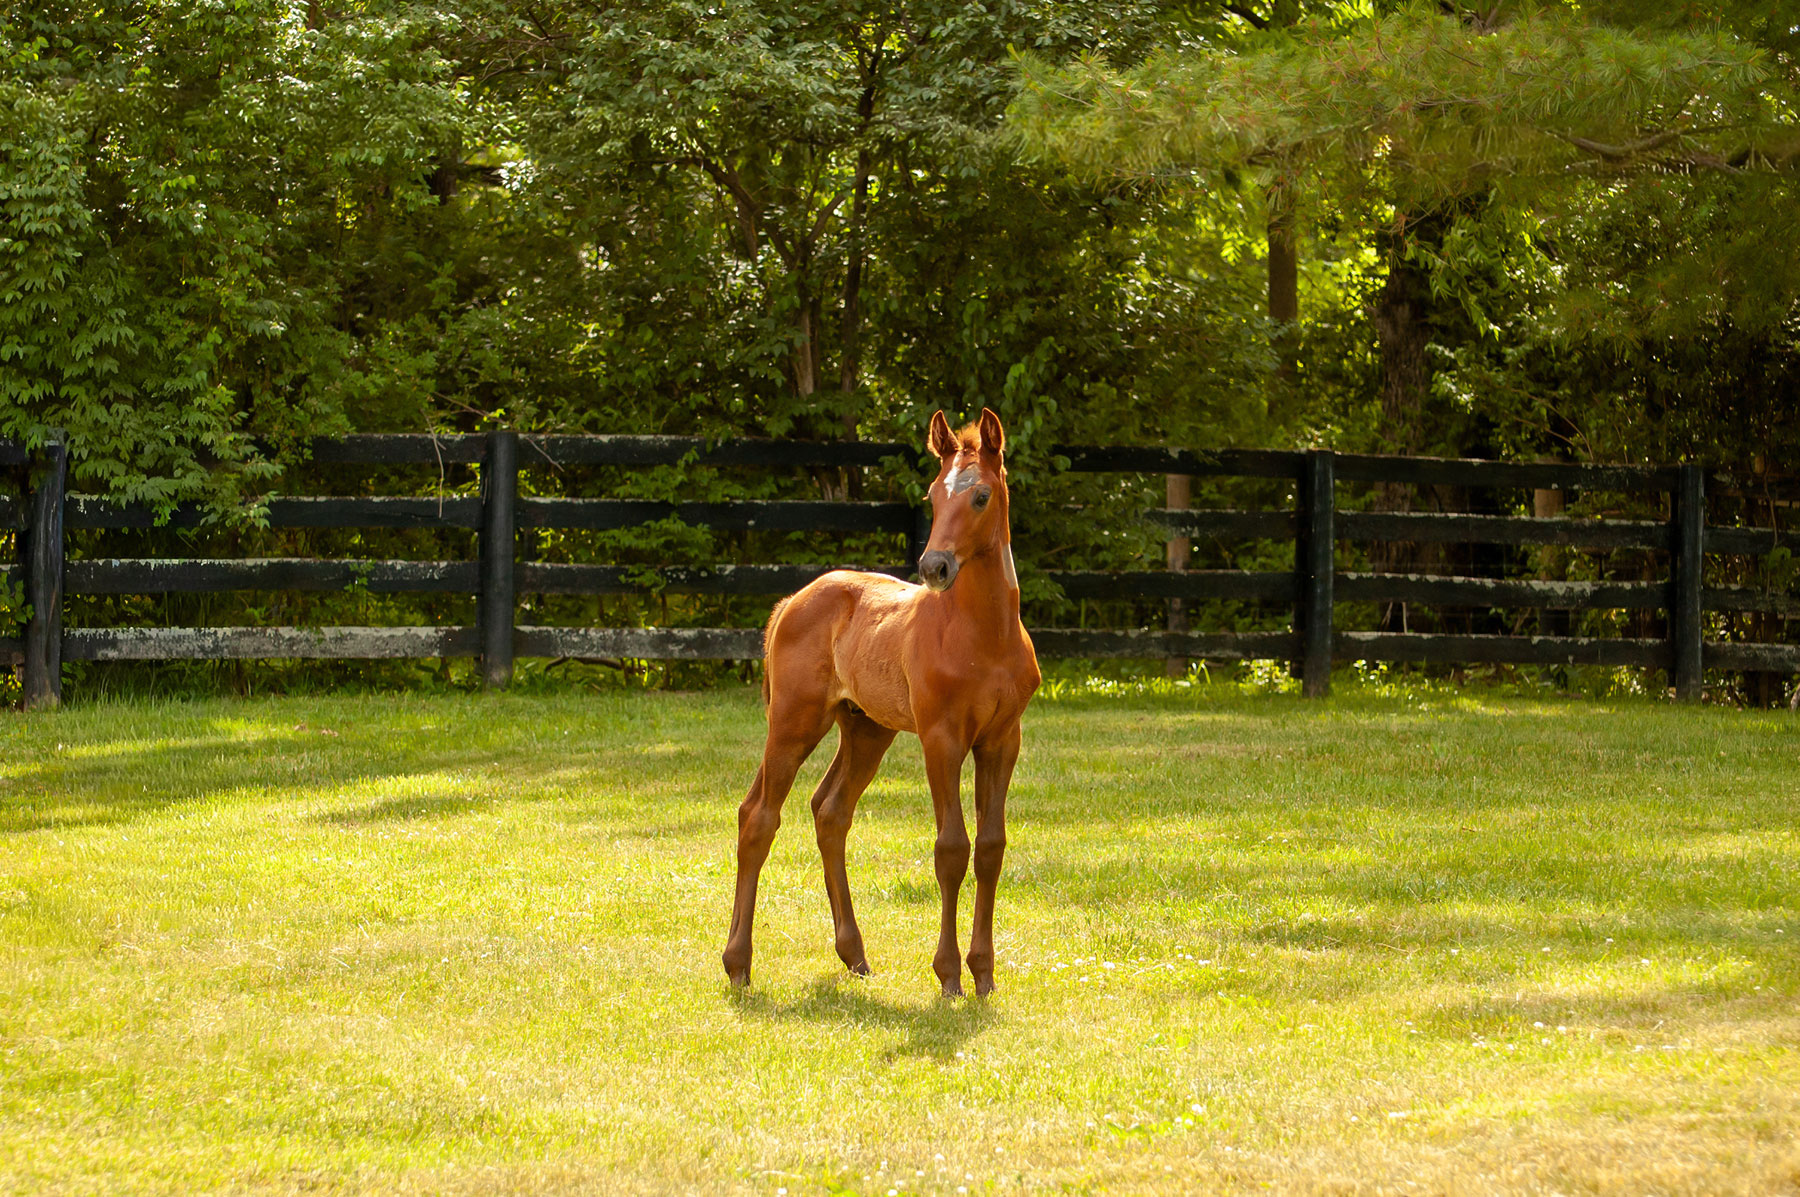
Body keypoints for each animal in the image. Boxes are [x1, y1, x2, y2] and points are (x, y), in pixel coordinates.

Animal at [722, 408, 1041, 997]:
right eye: (933, 495)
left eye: (981, 495)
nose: (935, 567)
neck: (984, 636)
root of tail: (791, 601)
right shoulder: (941, 739)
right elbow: (951, 848)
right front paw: (948, 975)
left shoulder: (1001, 741)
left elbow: (990, 847)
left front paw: (983, 974)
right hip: (795, 722)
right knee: (758, 816)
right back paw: (737, 963)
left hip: (867, 729)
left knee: (830, 812)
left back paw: (854, 955)